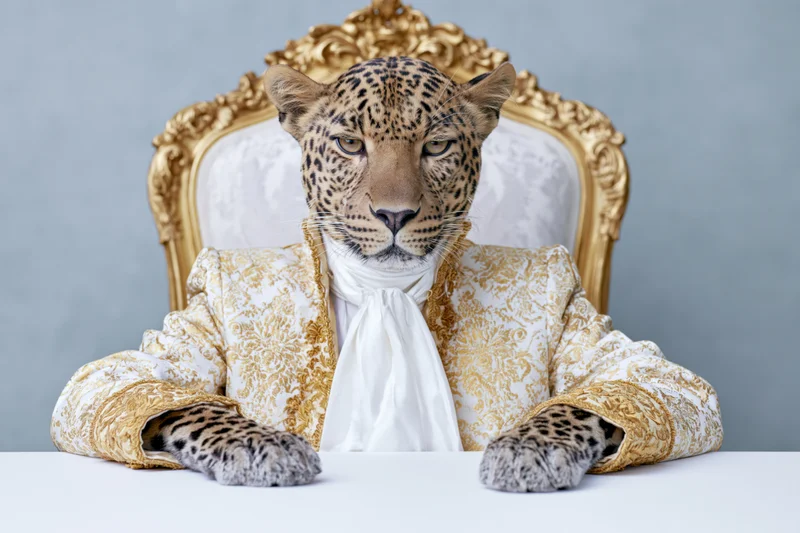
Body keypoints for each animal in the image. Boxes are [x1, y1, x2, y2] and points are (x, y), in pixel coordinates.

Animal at [142, 56, 625, 491]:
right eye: (350, 144)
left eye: (436, 146)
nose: (395, 215)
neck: (384, 290)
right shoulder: (164, 360)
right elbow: (180, 397)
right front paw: (260, 448)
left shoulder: (616, 361)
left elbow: (591, 395)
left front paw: (535, 450)